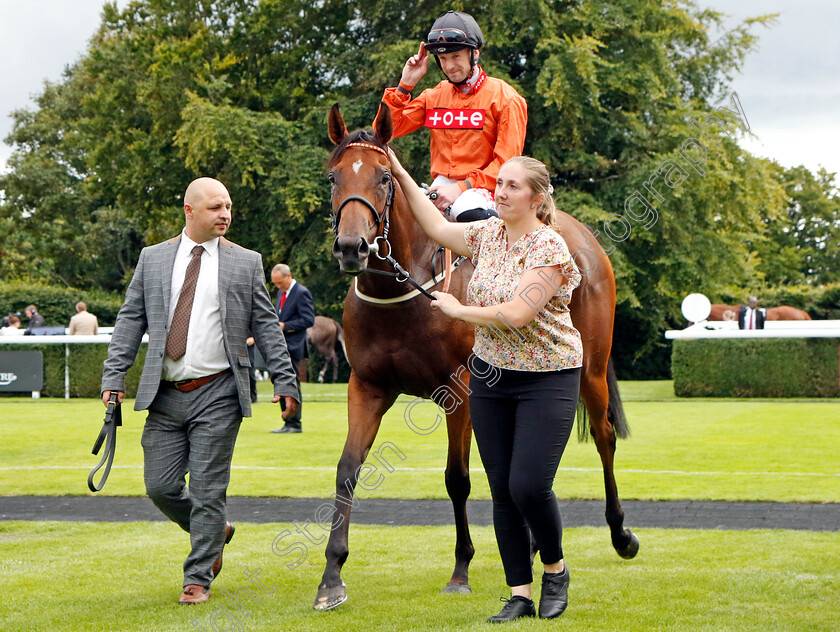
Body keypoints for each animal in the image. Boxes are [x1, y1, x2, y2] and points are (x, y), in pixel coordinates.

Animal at [316, 103, 636, 612]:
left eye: (384, 178)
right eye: (333, 177)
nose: (351, 247)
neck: (403, 291)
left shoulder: (461, 393)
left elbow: (457, 478)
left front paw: (460, 570)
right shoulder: (366, 387)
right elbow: (347, 471)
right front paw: (331, 576)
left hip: (589, 369)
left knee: (604, 437)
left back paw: (621, 533)